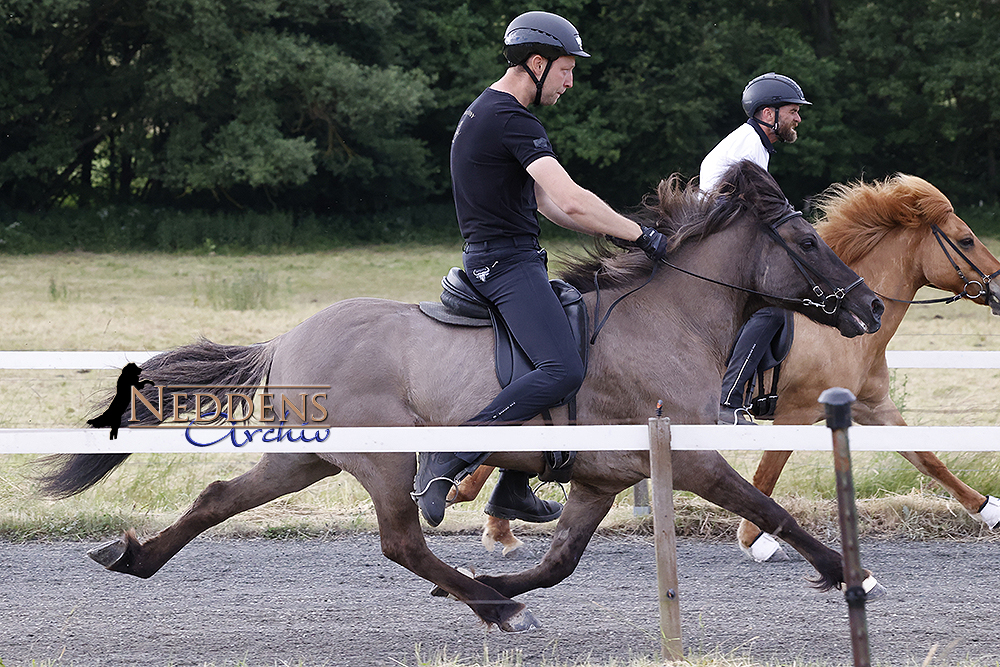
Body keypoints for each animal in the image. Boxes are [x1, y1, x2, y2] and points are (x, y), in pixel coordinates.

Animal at [37, 162, 884, 632]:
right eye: (805, 241)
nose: (871, 306)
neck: (666, 316)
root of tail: (285, 339)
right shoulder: (693, 459)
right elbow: (771, 509)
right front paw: (849, 572)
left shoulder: (604, 477)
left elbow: (560, 560)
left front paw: (499, 580)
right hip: (383, 460)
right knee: (401, 540)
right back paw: (492, 606)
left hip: (308, 459)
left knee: (218, 494)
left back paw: (133, 555)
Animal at [458, 175, 1000, 560]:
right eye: (966, 241)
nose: (997, 288)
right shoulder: (797, 413)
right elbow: (768, 472)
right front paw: (754, 537)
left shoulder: (872, 406)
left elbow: (927, 458)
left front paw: (988, 509)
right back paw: (486, 512)